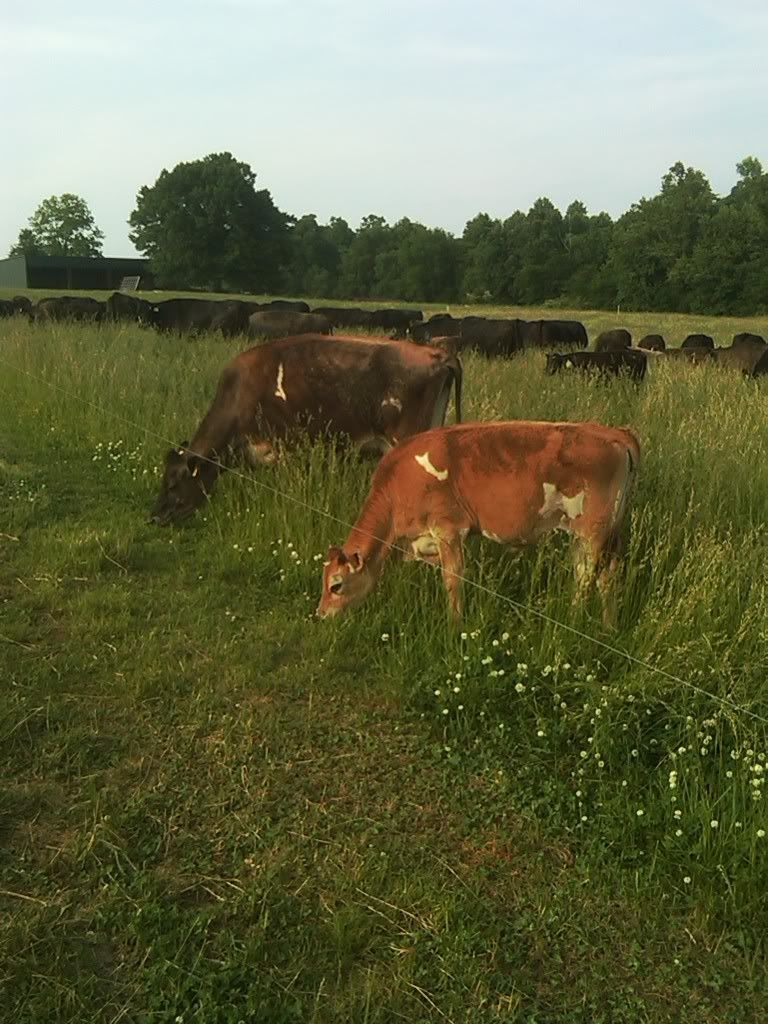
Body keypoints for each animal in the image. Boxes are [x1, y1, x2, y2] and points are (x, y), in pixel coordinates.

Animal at [317, 420, 640, 625]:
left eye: (336, 585)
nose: (320, 614)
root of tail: (613, 432)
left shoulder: (448, 528)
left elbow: (452, 579)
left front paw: (454, 627)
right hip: (608, 532)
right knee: (608, 576)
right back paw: (608, 627)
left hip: (591, 530)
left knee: (586, 577)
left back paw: (571, 622)